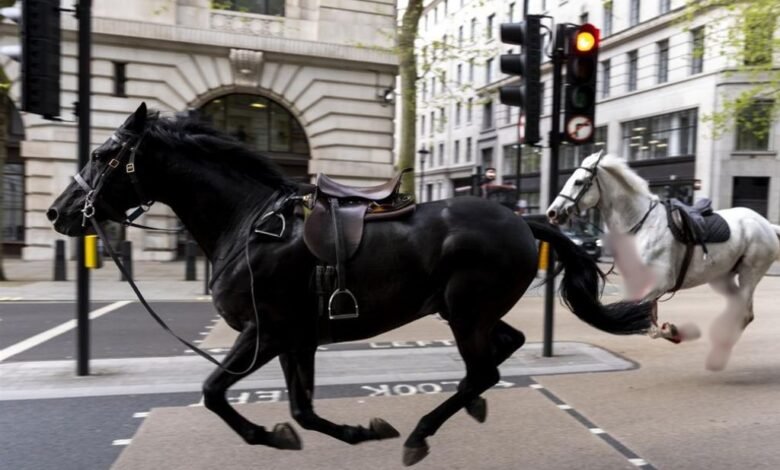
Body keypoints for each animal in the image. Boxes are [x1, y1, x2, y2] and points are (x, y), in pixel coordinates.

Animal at [45, 103, 648, 466]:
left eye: (101, 155)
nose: (58, 212)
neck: (249, 224)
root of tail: (523, 220)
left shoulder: (265, 333)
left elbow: (215, 391)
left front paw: (271, 436)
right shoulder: (297, 338)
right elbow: (302, 410)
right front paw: (354, 432)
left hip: (464, 311)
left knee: (484, 368)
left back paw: (422, 432)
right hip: (467, 311)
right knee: (503, 350)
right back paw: (467, 407)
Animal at [548, 152, 780, 370]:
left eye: (578, 182)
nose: (552, 212)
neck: (643, 224)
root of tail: (766, 224)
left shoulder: (661, 283)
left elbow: (646, 323)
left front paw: (674, 331)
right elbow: (647, 320)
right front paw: (673, 331)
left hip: (750, 273)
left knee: (745, 314)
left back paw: (718, 353)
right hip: (723, 277)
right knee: (739, 310)